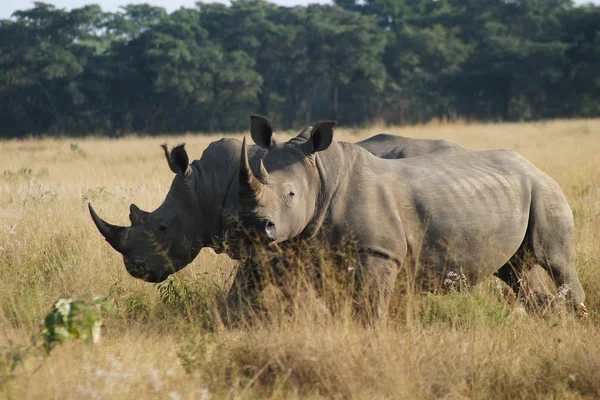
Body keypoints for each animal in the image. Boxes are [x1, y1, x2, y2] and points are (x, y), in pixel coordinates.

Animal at [238, 115, 584, 318]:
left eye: (291, 195)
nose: (257, 228)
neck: (321, 174)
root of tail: (534, 166)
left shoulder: (379, 251)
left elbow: (371, 307)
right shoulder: (316, 250)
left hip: (545, 191)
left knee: (556, 262)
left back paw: (575, 319)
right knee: (515, 271)